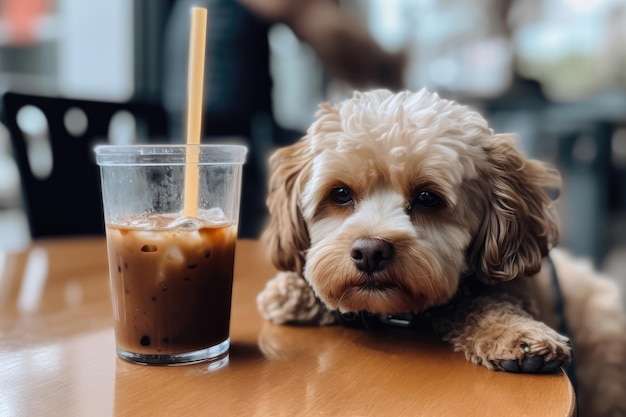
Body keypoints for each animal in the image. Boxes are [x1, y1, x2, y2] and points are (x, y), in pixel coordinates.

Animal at [255, 88, 624, 416]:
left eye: (427, 197)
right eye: (341, 194)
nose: (369, 251)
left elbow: (484, 302)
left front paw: (516, 333)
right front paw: (291, 292)